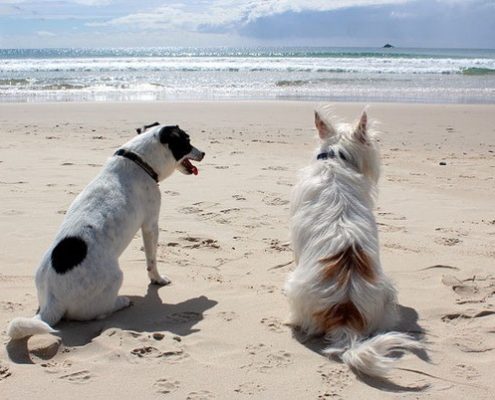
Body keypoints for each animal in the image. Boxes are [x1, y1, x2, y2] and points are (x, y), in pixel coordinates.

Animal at [6, 123, 203, 340]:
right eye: (187, 141)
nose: (203, 153)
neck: (138, 160)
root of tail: (52, 301)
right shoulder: (151, 225)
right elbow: (152, 261)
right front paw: (158, 280)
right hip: (115, 277)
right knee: (99, 312)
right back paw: (121, 301)